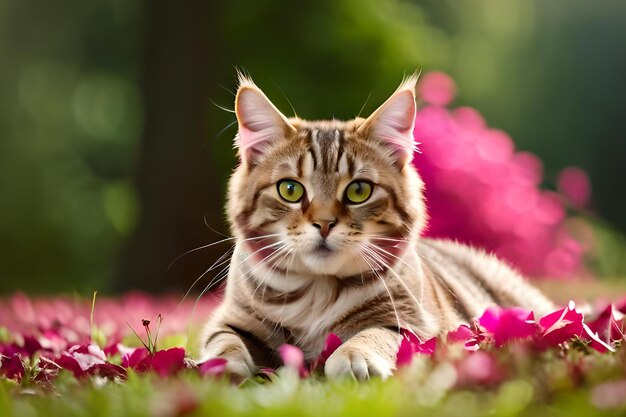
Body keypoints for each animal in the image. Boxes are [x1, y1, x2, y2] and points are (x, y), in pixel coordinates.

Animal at [199, 72, 552, 380]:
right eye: (290, 189)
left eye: (358, 191)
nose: (324, 224)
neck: (317, 290)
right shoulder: (230, 318)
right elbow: (223, 341)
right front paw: (218, 367)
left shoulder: (417, 326)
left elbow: (375, 334)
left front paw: (354, 357)